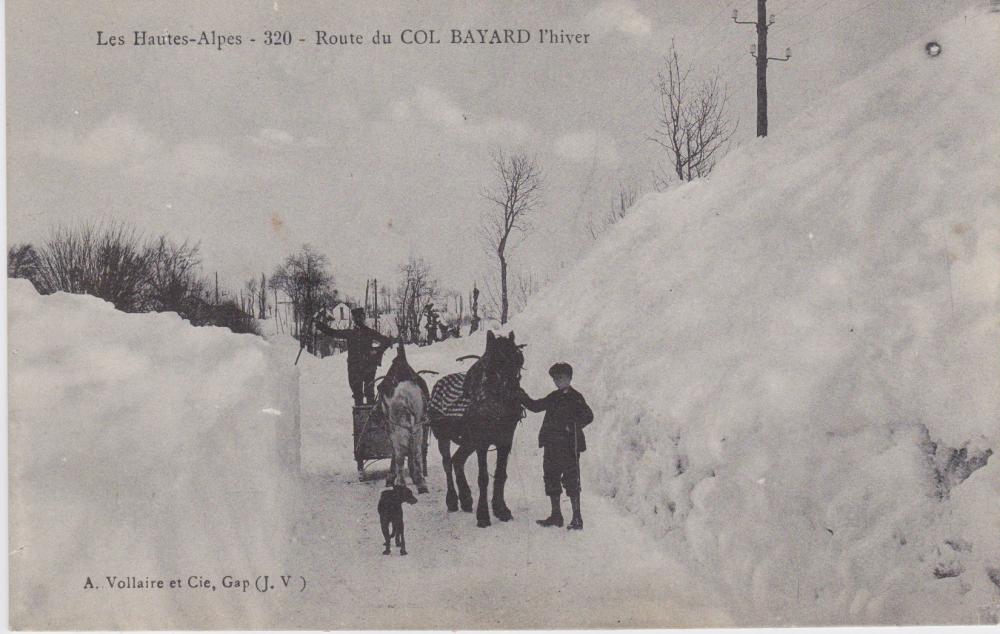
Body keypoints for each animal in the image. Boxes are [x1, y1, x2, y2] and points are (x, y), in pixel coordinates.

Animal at [428, 328, 528, 524]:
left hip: (468, 441)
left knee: (457, 460)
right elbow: (483, 477)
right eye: (494, 361)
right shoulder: (482, 442)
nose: (514, 395)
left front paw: (501, 509)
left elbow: (500, 474)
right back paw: (452, 500)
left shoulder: (505, 440)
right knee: (447, 463)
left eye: (519, 359)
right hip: (444, 437)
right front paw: (483, 515)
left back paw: (466, 498)